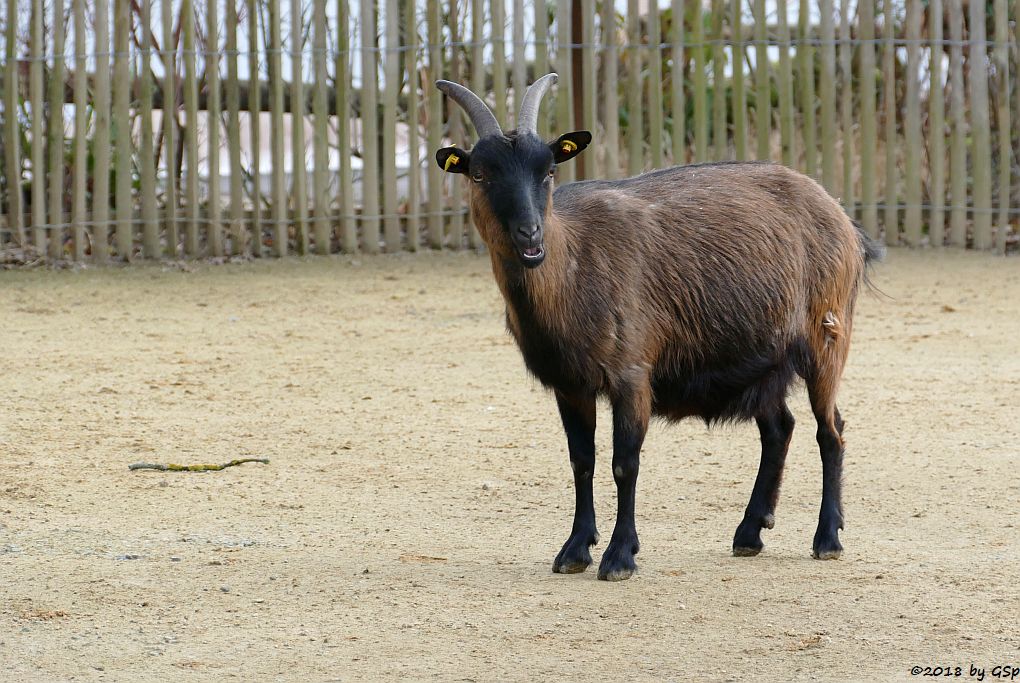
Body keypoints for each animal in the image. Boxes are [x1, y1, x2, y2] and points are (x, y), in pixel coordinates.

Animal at [434, 72, 881, 579]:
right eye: (479, 173)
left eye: (547, 170)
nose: (530, 235)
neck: (573, 265)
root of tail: (841, 216)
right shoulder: (571, 384)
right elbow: (581, 461)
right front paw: (574, 550)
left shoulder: (631, 373)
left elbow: (624, 463)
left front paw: (619, 555)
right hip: (766, 358)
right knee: (779, 428)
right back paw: (750, 532)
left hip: (827, 334)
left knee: (831, 430)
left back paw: (827, 538)